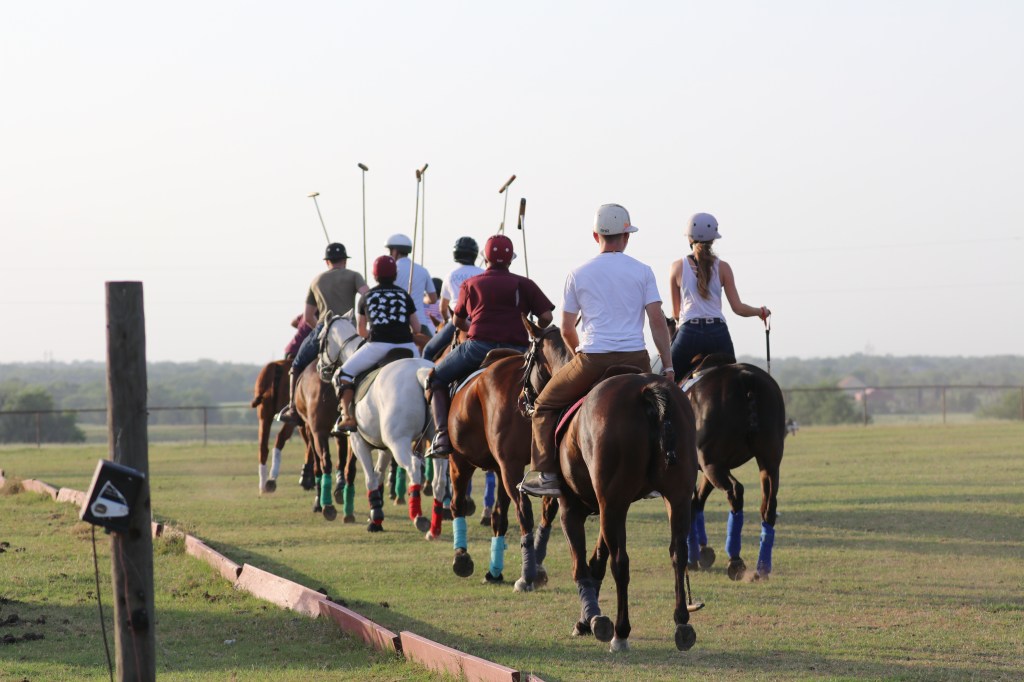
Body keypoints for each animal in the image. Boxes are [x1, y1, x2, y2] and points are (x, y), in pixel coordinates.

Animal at [446, 348, 560, 591]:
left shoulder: (460, 460)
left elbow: (457, 504)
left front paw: (461, 557)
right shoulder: (501, 468)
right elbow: (499, 516)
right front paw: (494, 571)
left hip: (502, 465)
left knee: (524, 511)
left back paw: (527, 574)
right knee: (548, 508)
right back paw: (535, 565)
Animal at [523, 320, 700, 653]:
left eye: (527, 357)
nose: (522, 400)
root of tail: (647, 391)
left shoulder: (574, 508)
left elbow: (582, 565)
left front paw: (593, 620)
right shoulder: (610, 504)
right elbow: (597, 561)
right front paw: (587, 618)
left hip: (613, 501)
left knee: (622, 562)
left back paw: (621, 631)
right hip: (676, 495)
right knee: (677, 552)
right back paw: (682, 623)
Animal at [682, 352, 786, 581]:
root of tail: (745, 377)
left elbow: (689, 505)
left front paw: (693, 557)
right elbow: (696, 503)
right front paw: (702, 552)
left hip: (713, 464)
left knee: (736, 492)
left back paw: (735, 561)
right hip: (769, 462)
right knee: (768, 505)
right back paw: (762, 568)